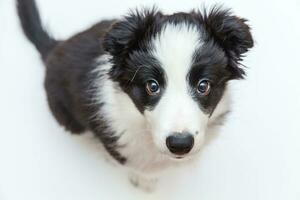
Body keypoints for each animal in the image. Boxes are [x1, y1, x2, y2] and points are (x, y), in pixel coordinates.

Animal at [16, 0, 253, 191]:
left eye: (203, 86)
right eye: (152, 86)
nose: (180, 144)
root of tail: (55, 47)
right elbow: (139, 167)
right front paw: (144, 181)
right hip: (67, 117)